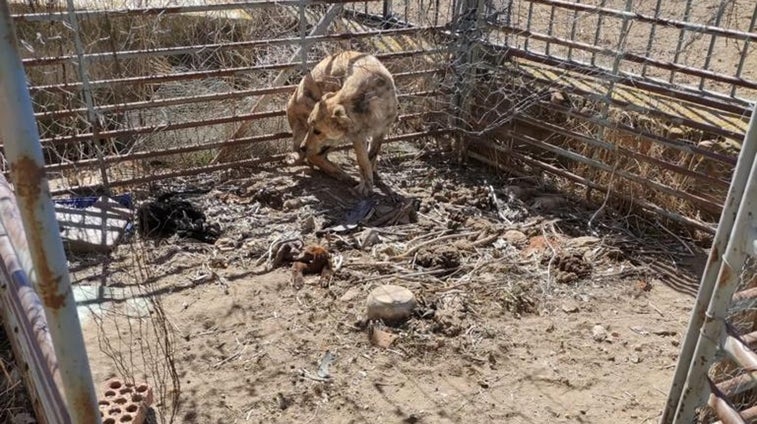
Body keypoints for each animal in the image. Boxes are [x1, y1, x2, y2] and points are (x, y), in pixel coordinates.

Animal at [284, 51, 402, 195]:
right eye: (310, 126)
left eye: (317, 131)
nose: (302, 148)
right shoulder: (356, 136)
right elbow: (363, 161)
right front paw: (365, 186)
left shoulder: (381, 132)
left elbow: (371, 157)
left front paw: (368, 180)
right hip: (337, 137)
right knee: (313, 156)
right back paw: (340, 174)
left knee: (316, 156)